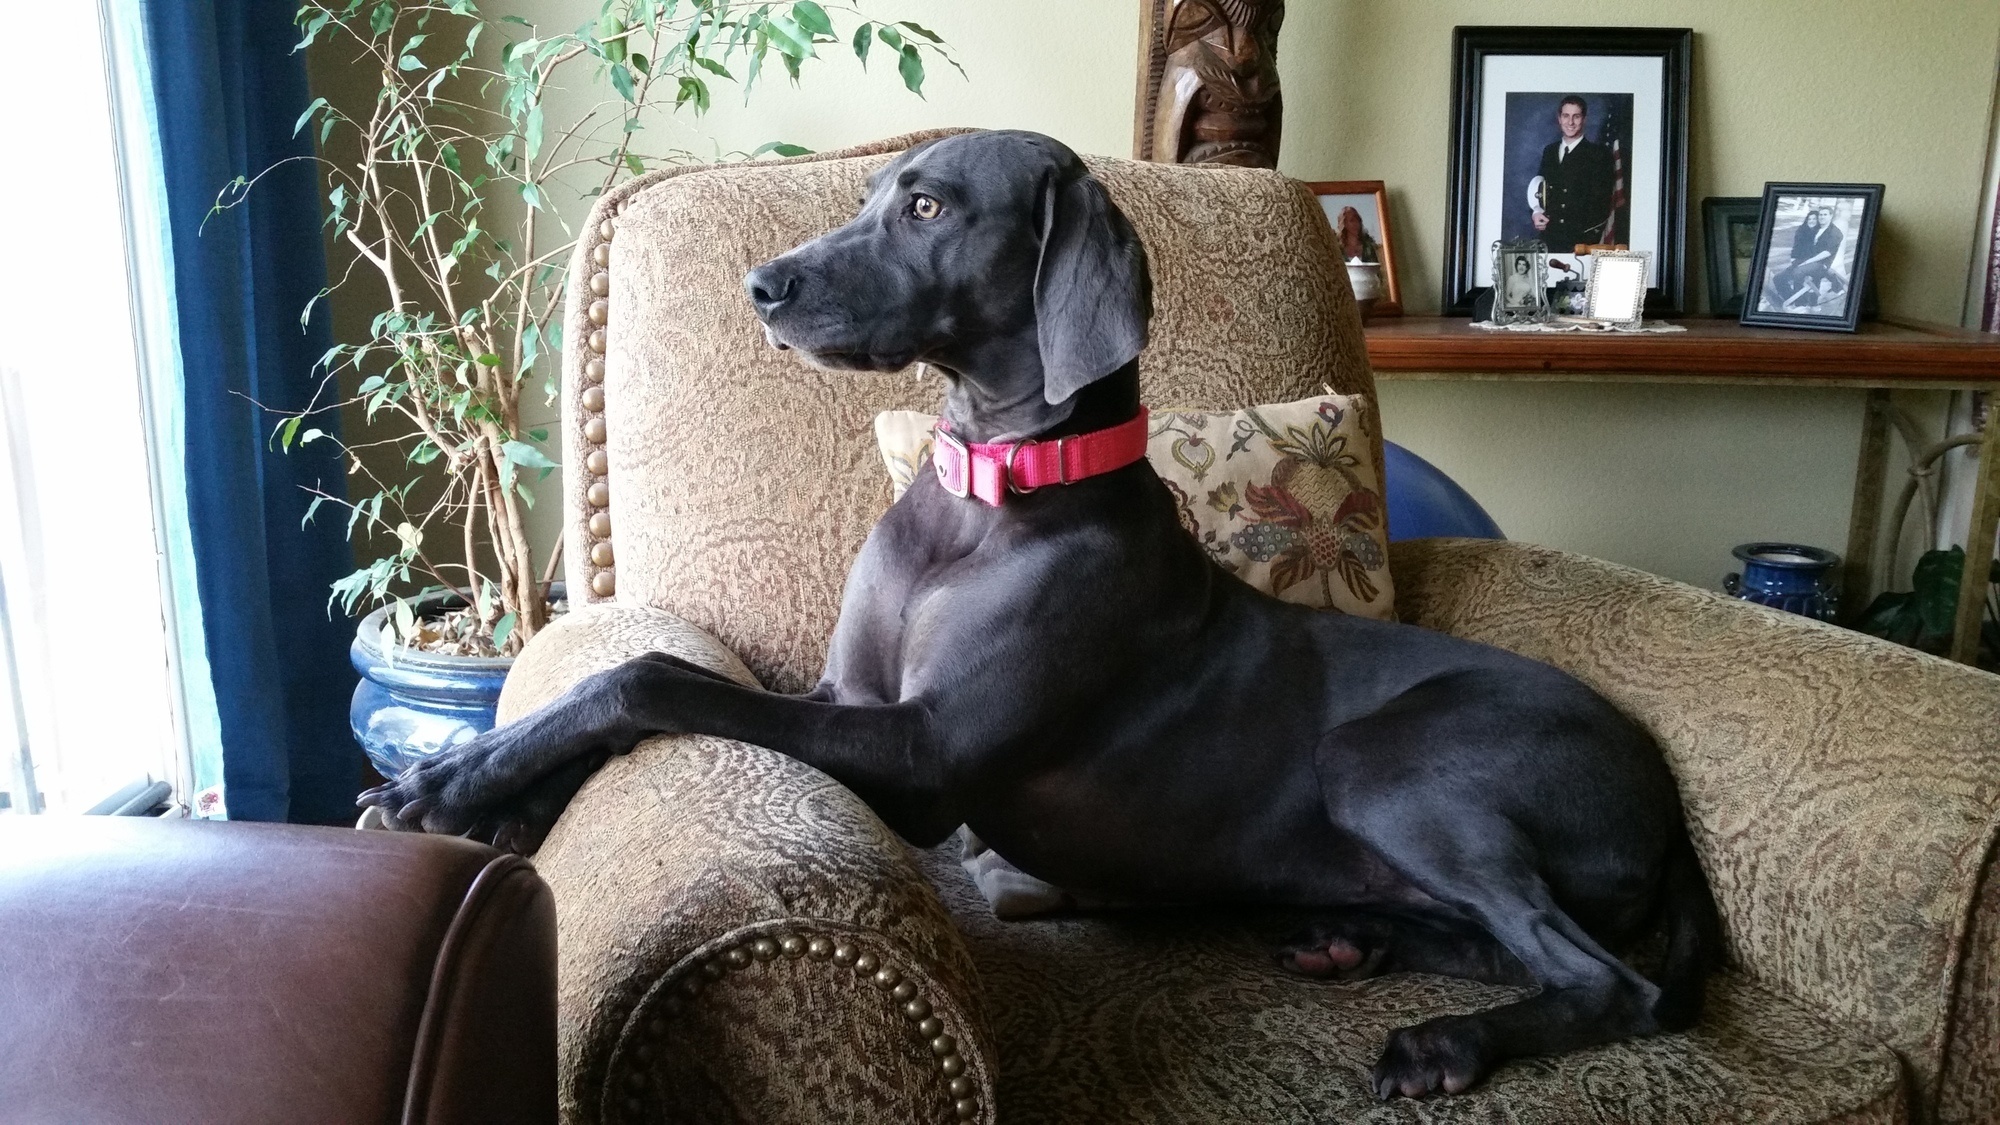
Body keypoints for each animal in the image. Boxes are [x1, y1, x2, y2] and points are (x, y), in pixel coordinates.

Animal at [360, 131, 1720, 1096]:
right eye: (878, 195)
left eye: (926, 208)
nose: (760, 285)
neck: (987, 495)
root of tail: (1660, 796)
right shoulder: (841, 697)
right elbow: (674, 682)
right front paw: (483, 793)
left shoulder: (922, 755)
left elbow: (649, 678)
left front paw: (455, 779)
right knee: (1512, 942)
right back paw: (1349, 938)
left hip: (1388, 761)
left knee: (1609, 983)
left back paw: (1443, 1042)